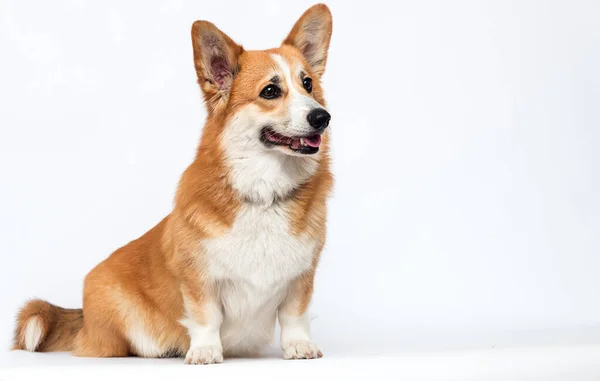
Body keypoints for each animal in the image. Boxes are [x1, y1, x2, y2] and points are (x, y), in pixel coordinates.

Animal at [11, 4, 336, 364]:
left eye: (307, 84)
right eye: (270, 91)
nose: (322, 117)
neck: (264, 193)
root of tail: (82, 316)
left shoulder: (301, 277)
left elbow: (294, 316)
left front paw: (299, 345)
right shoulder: (198, 278)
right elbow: (207, 317)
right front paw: (205, 351)